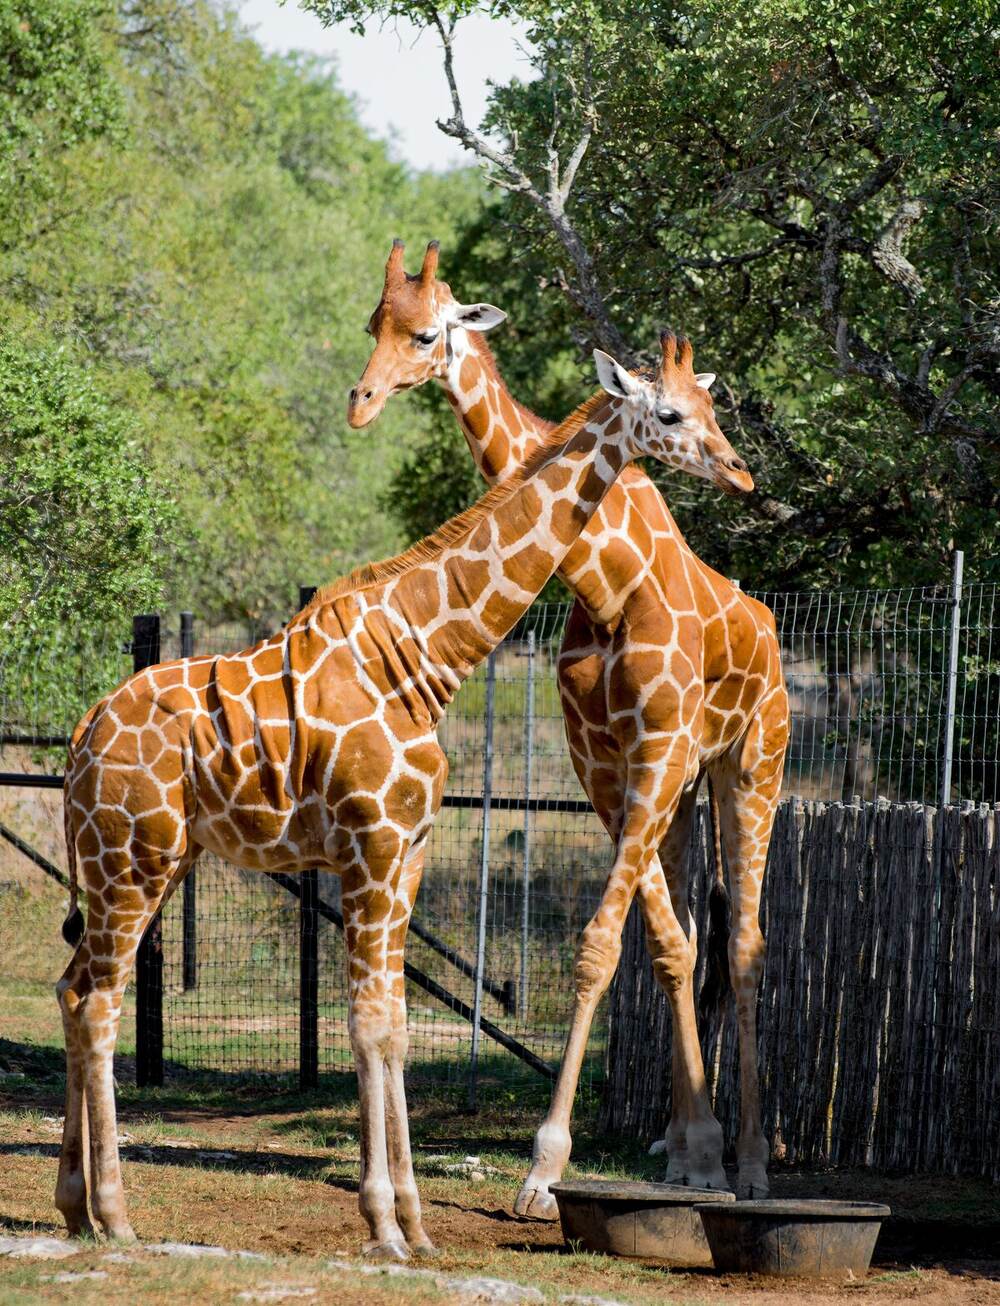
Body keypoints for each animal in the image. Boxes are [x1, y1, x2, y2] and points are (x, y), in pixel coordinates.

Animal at [54, 338, 754, 1259]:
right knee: (100, 1005)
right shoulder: (373, 845)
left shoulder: (406, 853)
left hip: (146, 863)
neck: (426, 651)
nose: (740, 472)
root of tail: (80, 736)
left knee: (72, 993)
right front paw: (384, 1222)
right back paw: (117, 1215)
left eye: (712, 409)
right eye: (669, 414)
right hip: (132, 859)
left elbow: (391, 1020)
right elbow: (368, 1023)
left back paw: (72, 1207)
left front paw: (413, 1226)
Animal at [349, 241, 790, 1213]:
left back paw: (751, 1164)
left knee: (745, 946)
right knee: (689, 941)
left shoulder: (658, 754)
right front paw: (684, 1150)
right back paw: (696, 1151)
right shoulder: (608, 765)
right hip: (683, 794)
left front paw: (544, 1166)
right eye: (377, 325)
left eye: (428, 333)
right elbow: (654, 944)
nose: (361, 403)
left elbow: (596, 947)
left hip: (751, 765)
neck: (604, 576)